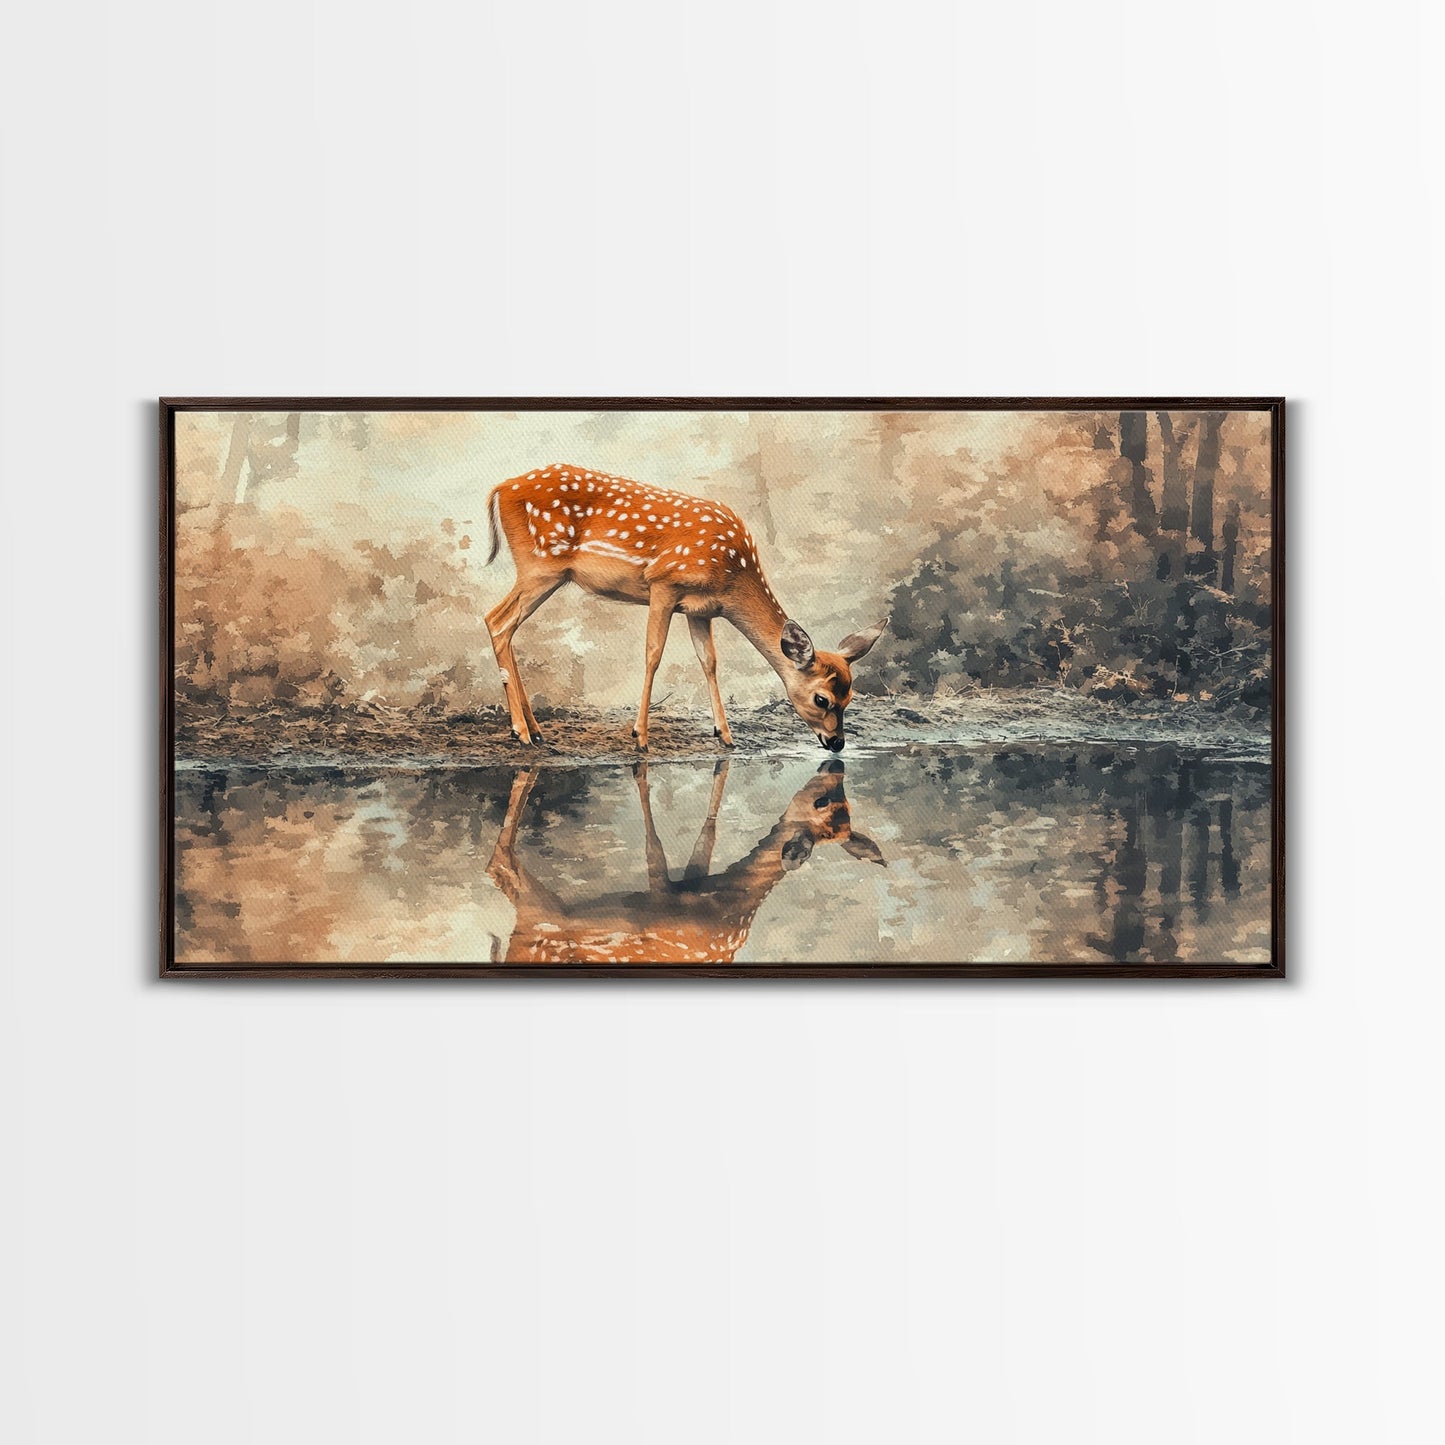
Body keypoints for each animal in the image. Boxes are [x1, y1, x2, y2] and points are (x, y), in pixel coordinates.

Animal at [482, 464, 886, 750]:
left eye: (850, 697)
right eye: (822, 699)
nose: (837, 743)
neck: (733, 574)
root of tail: (500, 487)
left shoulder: (700, 610)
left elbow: (709, 662)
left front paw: (725, 735)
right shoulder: (664, 582)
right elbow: (653, 654)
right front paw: (640, 736)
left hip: (547, 572)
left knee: (504, 624)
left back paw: (535, 730)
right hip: (540, 564)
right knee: (497, 620)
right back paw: (521, 732)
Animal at [485, 758, 884, 965]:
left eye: (846, 801)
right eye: (823, 802)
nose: (835, 762)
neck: (728, 900)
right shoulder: (663, 900)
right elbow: (658, 844)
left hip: (541, 919)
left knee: (500, 867)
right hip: (541, 923)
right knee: (500, 865)